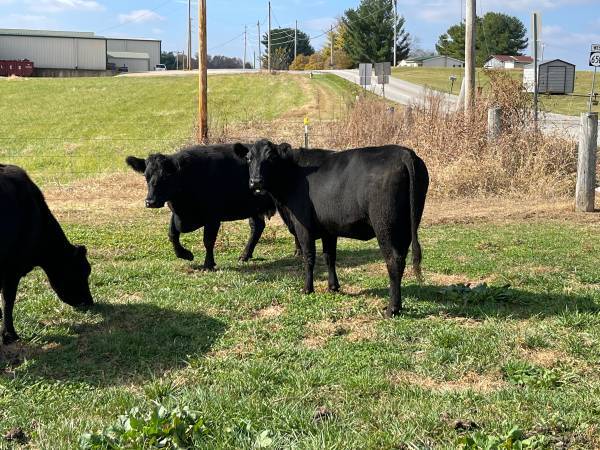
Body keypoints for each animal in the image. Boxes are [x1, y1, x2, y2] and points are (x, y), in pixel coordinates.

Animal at [126, 144, 298, 268]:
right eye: (146, 176)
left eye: (166, 176)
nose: (150, 202)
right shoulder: (177, 213)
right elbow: (172, 234)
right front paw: (185, 254)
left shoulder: (213, 217)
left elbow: (208, 241)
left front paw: (208, 264)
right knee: (257, 227)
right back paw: (245, 255)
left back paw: (298, 252)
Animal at [237, 139, 428, 318]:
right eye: (249, 158)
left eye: (270, 157)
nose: (255, 182)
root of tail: (404, 153)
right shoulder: (329, 229)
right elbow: (329, 257)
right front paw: (333, 286)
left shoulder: (303, 227)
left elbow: (309, 257)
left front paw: (307, 289)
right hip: (406, 227)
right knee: (401, 259)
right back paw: (397, 305)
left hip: (385, 226)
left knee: (393, 260)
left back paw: (391, 309)